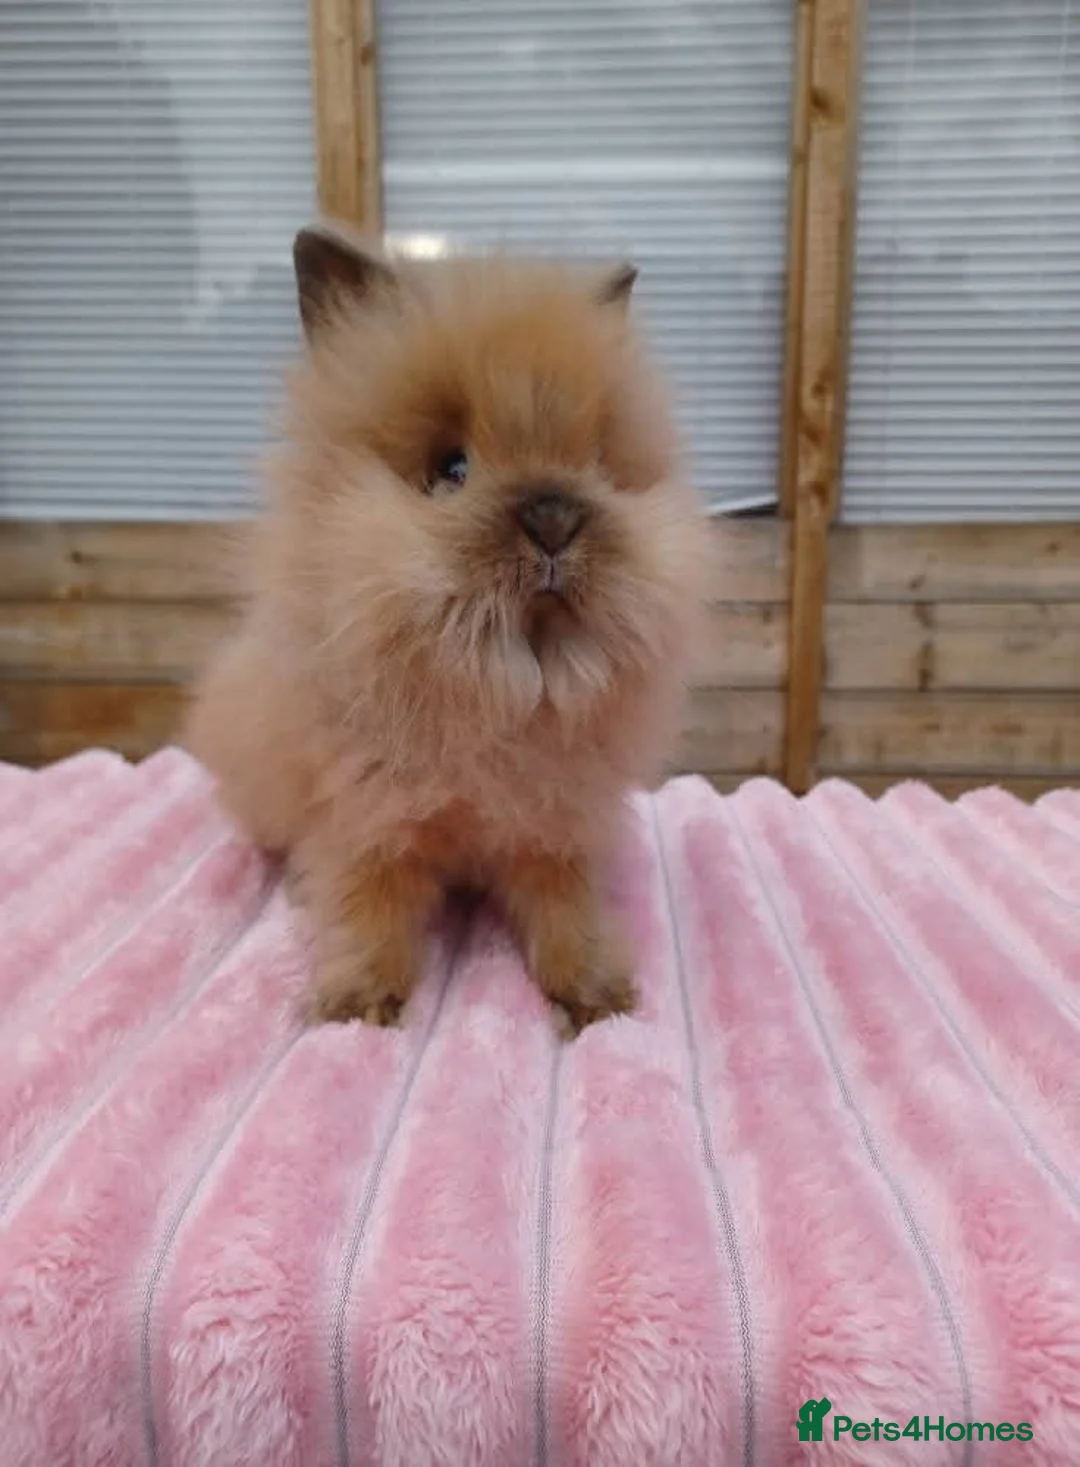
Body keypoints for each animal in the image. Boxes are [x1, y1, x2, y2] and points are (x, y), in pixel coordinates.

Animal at [185, 220, 709, 1035]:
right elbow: (367, 908)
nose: (554, 519)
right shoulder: (361, 825)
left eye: (596, 464)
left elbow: (565, 908)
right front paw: (360, 1006)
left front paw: (597, 996)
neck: (502, 687)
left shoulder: (557, 832)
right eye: (450, 471)